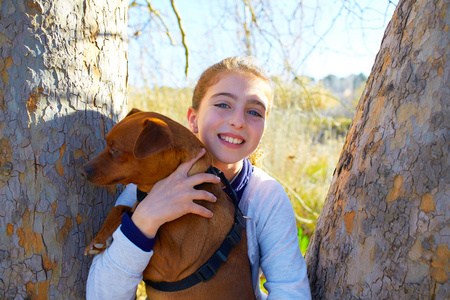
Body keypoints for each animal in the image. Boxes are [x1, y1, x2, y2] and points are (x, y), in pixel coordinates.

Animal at [82, 109, 255, 298]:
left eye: (115, 150)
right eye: (107, 143)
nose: (83, 170)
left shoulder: (169, 264)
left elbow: (128, 216)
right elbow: (120, 209)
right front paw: (100, 238)